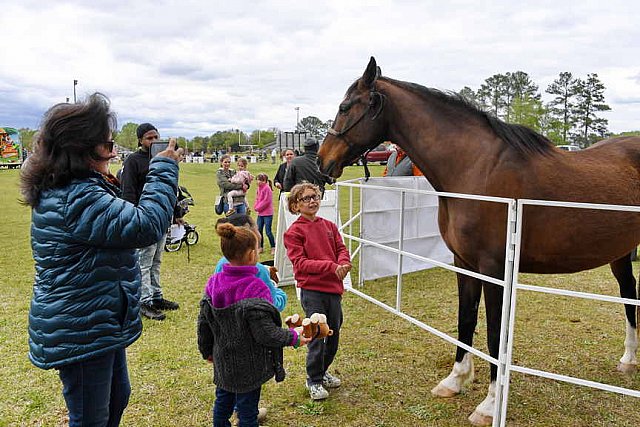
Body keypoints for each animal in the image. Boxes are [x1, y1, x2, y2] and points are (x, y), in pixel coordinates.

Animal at [320, 56, 640, 424]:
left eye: (345, 107)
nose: (322, 161)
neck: (475, 168)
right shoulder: (465, 264)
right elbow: (466, 320)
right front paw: (455, 380)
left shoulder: (494, 270)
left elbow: (493, 333)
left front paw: (489, 405)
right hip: (619, 252)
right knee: (629, 293)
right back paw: (629, 359)